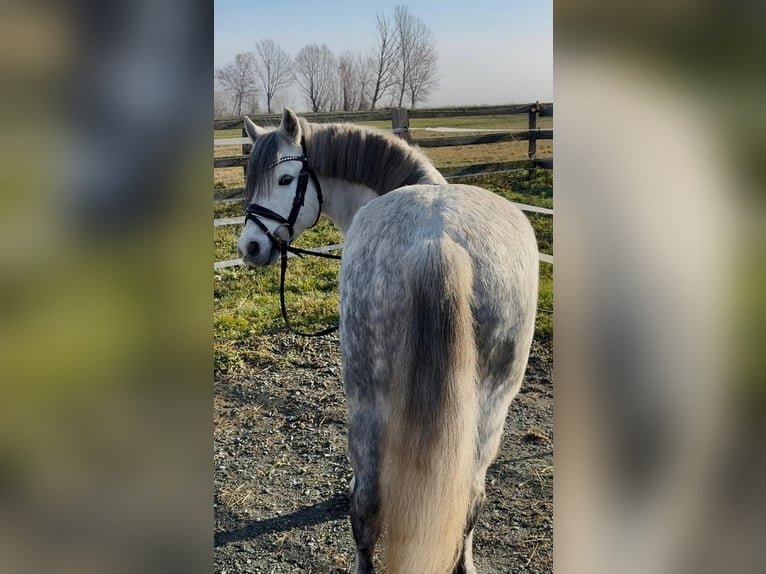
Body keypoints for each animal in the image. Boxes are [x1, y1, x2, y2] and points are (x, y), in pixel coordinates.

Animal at [236, 109, 539, 574]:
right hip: (492, 405)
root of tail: (437, 241)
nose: (249, 247)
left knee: (366, 504)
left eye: (286, 179)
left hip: (366, 398)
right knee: (470, 497)